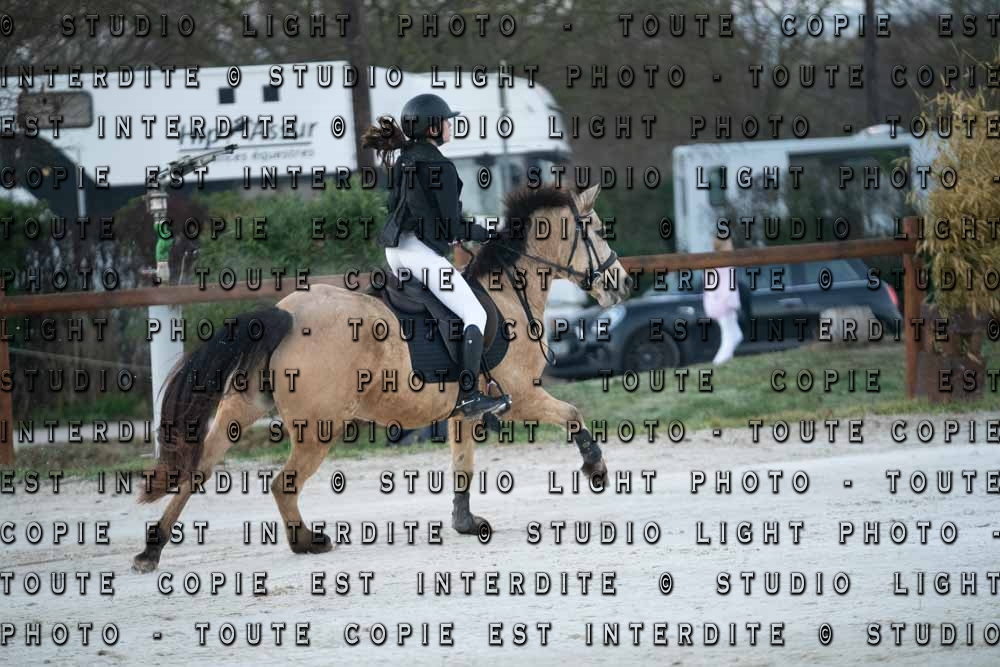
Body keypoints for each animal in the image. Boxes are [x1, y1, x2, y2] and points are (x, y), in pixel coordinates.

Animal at [132, 183, 632, 572]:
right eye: (597, 228)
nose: (623, 284)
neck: (510, 292)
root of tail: (285, 314)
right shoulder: (522, 397)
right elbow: (573, 413)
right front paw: (596, 468)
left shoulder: (463, 412)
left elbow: (463, 466)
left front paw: (466, 523)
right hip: (318, 428)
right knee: (282, 484)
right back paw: (306, 542)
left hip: (242, 407)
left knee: (197, 471)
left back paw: (151, 550)